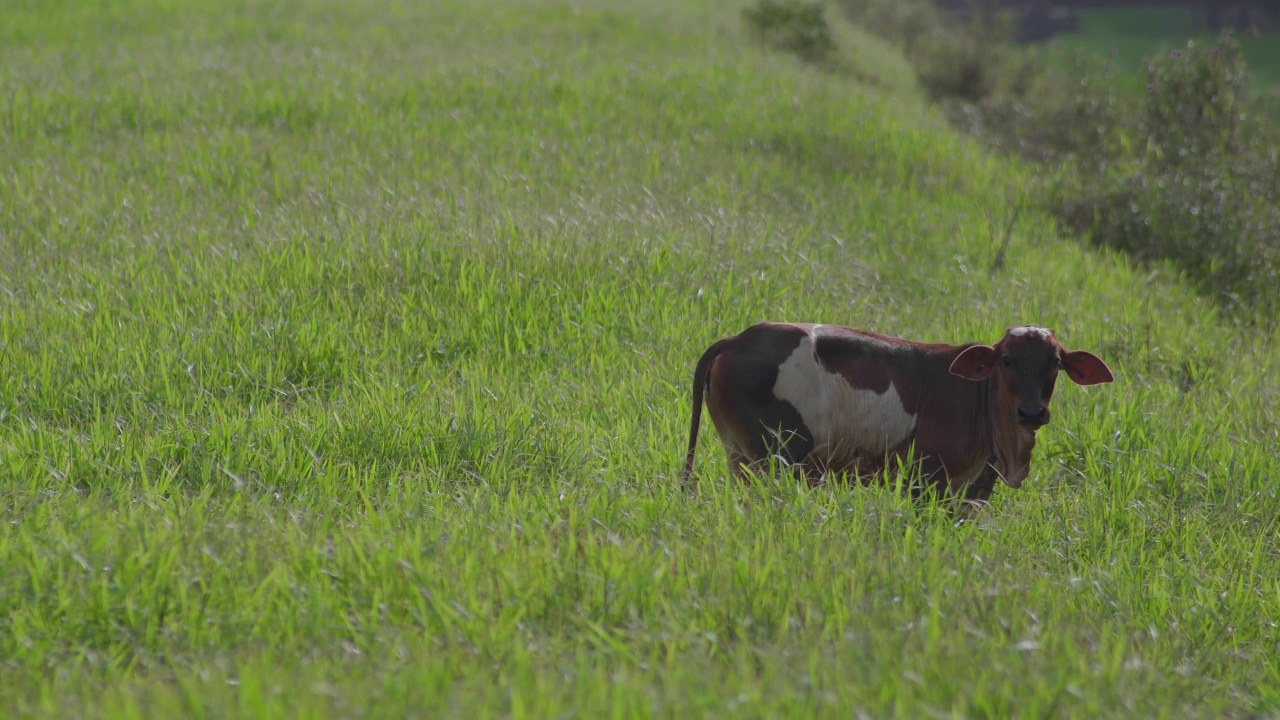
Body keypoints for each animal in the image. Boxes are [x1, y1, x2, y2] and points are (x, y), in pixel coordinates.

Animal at [680, 322, 1111, 507]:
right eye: (1006, 360)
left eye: (1055, 364)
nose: (1032, 411)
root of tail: (736, 339)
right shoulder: (926, 479)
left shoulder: (972, 491)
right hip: (773, 458)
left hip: (741, 456)